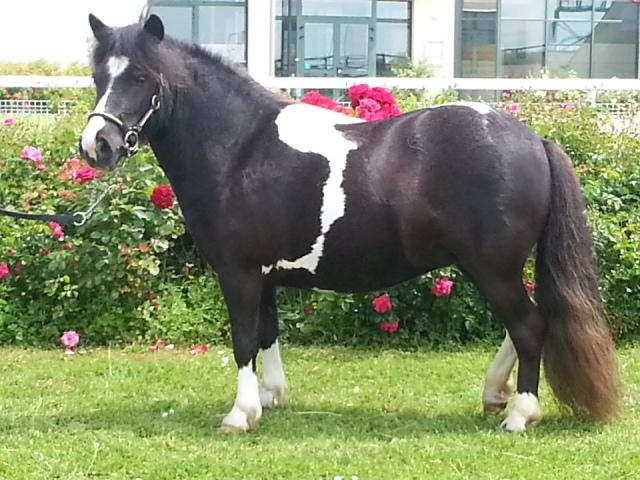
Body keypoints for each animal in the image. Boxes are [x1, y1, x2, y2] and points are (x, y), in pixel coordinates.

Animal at [79, 15, 620, 436]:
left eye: (142, 78)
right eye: (99, 75)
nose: (96, 145)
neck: (241, 149)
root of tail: (534, 140)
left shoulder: (238, 273)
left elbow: (243, 340)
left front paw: (239, 414)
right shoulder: (264, 276)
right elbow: (267, 334)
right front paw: (271, 398)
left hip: (492, 267)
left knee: (528, 325)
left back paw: (519, 414)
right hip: (496, 268)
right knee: (523, 324)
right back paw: (494, 395)